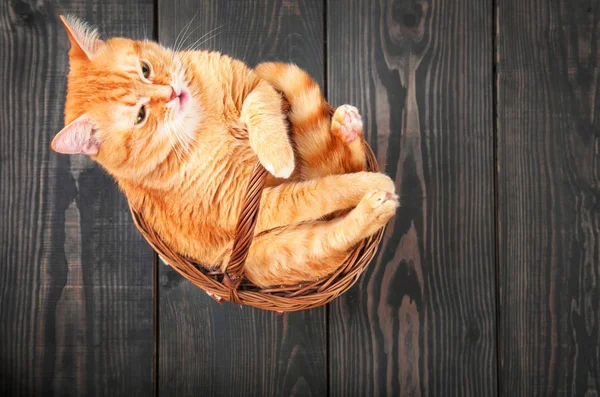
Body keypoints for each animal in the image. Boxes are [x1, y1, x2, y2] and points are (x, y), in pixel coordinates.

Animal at [50, 15, 398, 286]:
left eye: (145, 70)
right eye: (140, 116)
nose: (173, 93)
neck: (203, 120)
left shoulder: (255, 84)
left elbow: (259, 108)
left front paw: (274, 150)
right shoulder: (246, 207)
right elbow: (322, 192)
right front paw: (365, 185)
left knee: (337, 164)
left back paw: (348, 127)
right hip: (278, 251)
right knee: (334, 231)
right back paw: (375, 205)